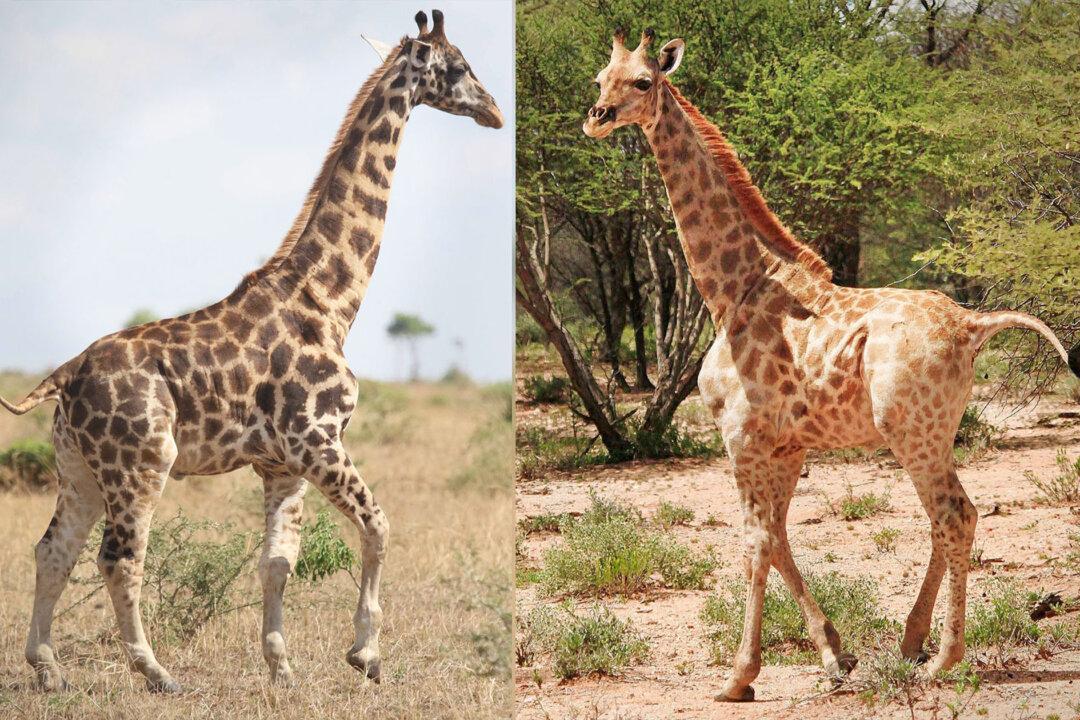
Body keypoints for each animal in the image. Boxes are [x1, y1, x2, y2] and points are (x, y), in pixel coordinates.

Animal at [0, 9, 502, 694]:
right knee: (119, 558)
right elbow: (378, 525)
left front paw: (282, 667)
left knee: (53, 549)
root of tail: (66, 374)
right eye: (459, 66)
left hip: (76, 466)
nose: (495, 111)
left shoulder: (280, 462)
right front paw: (365, 654)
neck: (330, 301)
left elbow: (277, 564)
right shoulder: (317, 438)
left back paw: (49, 670)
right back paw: (155, 672)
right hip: (142, 463)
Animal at [584, 28, 1080, 702]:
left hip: (911, 432)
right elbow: (779, 539)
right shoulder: (787, 443)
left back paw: (943, 659)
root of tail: (973, 327)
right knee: (945, 518)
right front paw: (833, 654)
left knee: (955, 515)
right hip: (935, 432)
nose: (596, 117)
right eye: (600, 77)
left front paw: (738, 677)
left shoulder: (740, 437)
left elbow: (754, 544)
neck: (731, 289)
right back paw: (911, 643)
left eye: (642, 81)